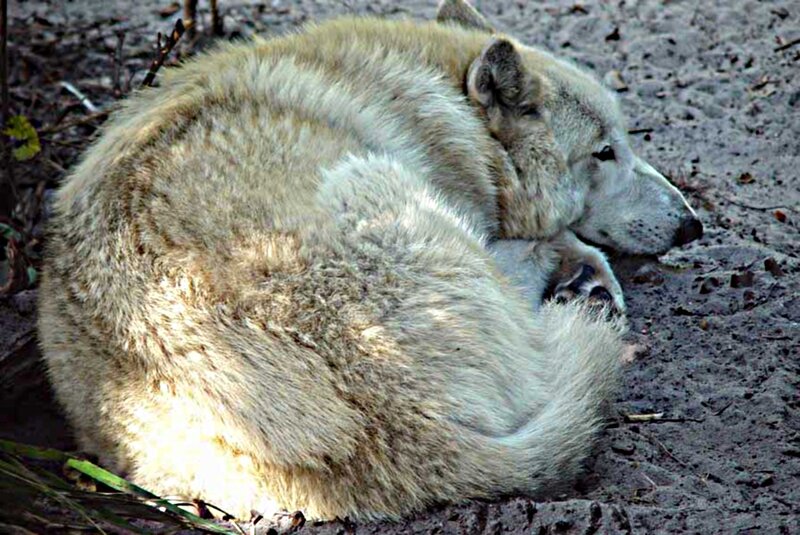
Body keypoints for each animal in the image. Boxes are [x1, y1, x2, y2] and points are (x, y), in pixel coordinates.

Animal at [38, 0, 702, 521]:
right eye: (605, 152)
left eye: (625, 143)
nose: (692, 224)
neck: (442, 102)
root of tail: (392, 424)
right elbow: (550, 240)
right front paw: (579, 262)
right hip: (386, 193)